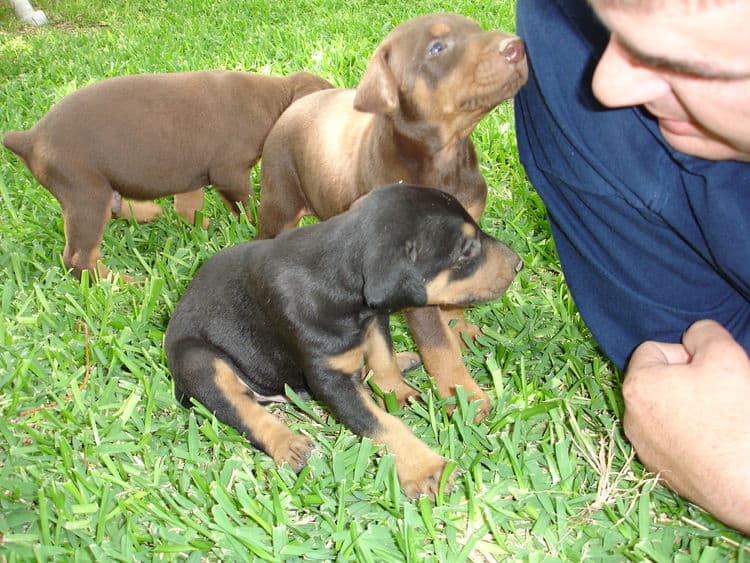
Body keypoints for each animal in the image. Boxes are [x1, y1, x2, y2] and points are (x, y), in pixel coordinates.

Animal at [2, 71, 332, 282]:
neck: (274, 98)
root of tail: (30, 139)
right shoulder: (230, 173)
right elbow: (248, 207)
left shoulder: (191, 176)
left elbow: (188, 208)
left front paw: (202, 229)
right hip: (85, 192)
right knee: (78, 258)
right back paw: (124, 282)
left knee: (113, 209)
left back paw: (148, 212)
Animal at [258, 13, 528, 420]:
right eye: (437, 48)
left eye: (478, 29)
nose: (517, 47)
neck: (444, 158)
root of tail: (302, 101)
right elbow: (437, 344)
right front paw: (464, 396)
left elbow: (456, 294)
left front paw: (460, 327)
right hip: (279, 201)